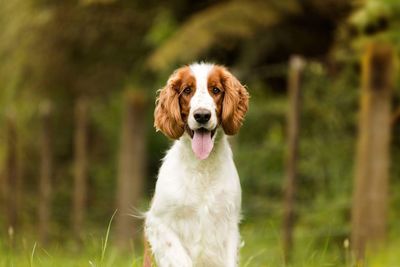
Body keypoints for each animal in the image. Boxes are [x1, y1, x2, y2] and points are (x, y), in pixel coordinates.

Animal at [144, 63, 250, 267]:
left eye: (215, 90)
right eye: (187, 90)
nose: (202, 115)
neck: (203, 167)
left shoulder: (228, 226)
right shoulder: (159, 223)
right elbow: (180, 258)